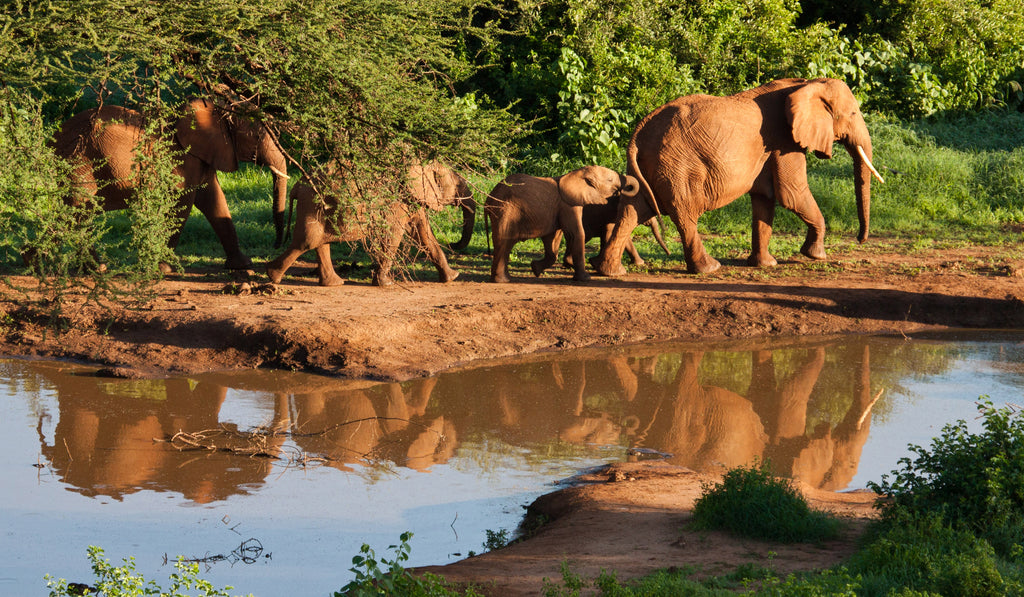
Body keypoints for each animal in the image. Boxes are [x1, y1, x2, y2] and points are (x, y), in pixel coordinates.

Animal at [52, 98, 289, 270]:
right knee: (79, 212)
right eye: (256, 137)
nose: (276, 244)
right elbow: (183, 204)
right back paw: (94, 268)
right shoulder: (182, 160)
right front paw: (164, 269)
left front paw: (242, 265)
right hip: (80, 161)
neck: (216, 109)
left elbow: (214, 201)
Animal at [265, 160, 474, 287]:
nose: (453, 242)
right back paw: (272, 276)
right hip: (312, 203)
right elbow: (395, 234)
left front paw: (452, 277)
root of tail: (297, 185)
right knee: (307, 241)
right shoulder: (398, 199)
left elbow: (423, 234)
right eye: (456, 184)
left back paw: (334, 283)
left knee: (319, 242)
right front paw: (385, 284)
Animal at [484, 165, 640, 283]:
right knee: (504, 243)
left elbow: (552, 239)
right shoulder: (568, 205)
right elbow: (576, 234)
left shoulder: (558, 209)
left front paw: (535, 269)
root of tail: (488, 199)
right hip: (505, 211)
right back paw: (503, 281)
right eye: (610, 179)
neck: (575, 174)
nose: (621, 191)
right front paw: (585, 279)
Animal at [593, 77, 886, 276]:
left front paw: (766, 264)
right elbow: (791, 194)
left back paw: (610, 271)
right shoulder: (784, 141)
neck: (804, 84)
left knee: (632, 210)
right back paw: (709, 268)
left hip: (650, 167)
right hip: (678, 167)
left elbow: (765, 199)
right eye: (853, 113)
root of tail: (637, 133)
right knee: (685, 213)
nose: (860, 240)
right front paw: (816, 256)